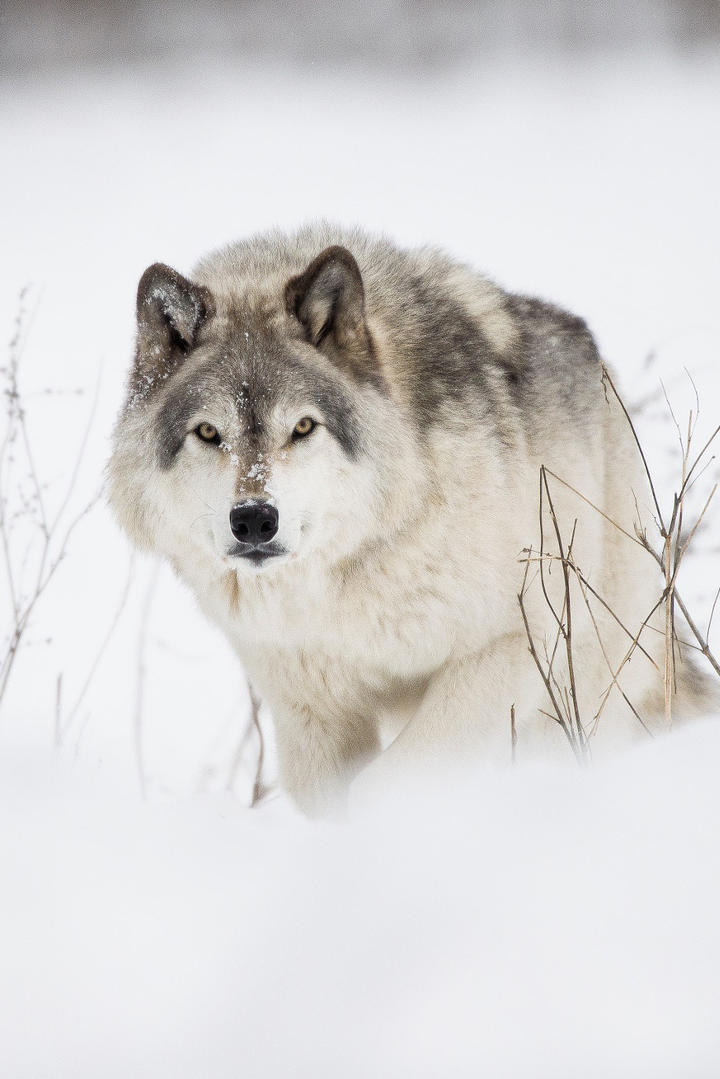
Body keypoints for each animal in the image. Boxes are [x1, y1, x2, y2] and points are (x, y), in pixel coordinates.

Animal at [108, 229, 708, 815]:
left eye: (302, 426)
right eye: (209, 433)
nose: (255, 520)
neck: (344, 582)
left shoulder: (505, 647)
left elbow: (384, 785)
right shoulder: (311, 711)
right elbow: (324, 795)